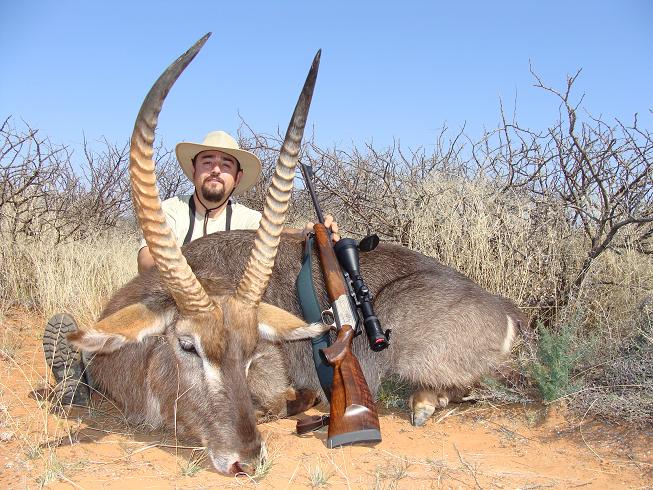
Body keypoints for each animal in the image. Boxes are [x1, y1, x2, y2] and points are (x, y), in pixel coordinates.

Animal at [64, 35, 525, 476]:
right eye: (187, 345)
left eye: (253, 350)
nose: (245, 460)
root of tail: (506, 309)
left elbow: (273, 401)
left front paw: (300, 403)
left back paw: (424, 402)